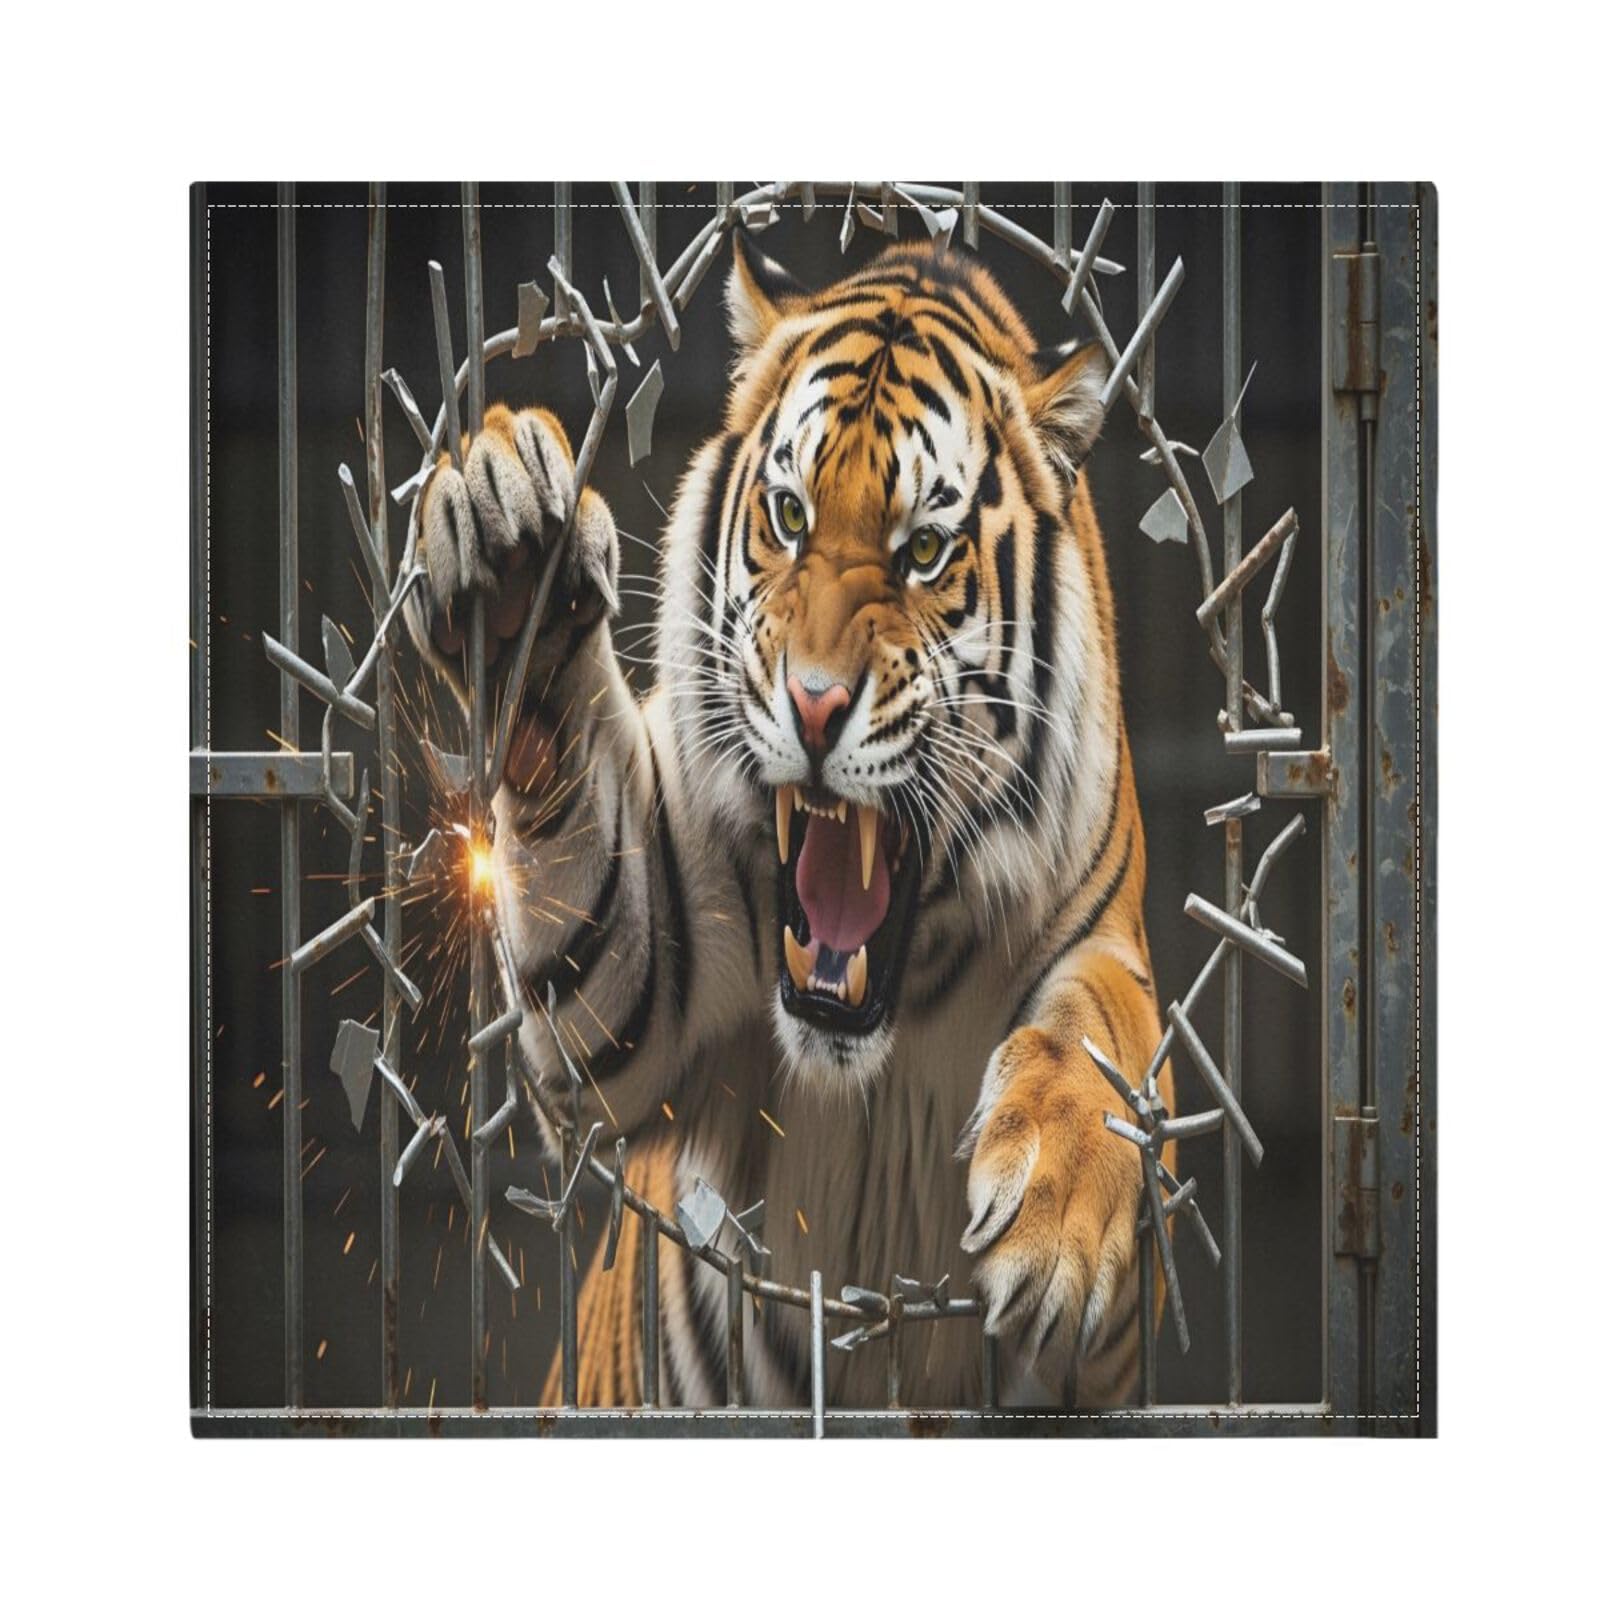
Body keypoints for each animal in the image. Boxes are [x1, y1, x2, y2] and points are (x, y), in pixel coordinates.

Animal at [406, 234, 1169, 1409]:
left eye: (923, 552)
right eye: (790, 517)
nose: (812, 705)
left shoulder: (1103, 933)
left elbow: (1098, 1034)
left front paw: (1054, 1235)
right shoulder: (646, 981)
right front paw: (511, 548)